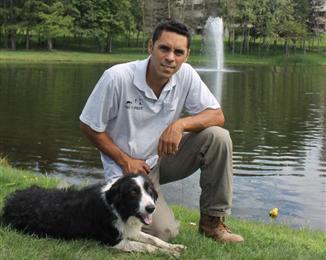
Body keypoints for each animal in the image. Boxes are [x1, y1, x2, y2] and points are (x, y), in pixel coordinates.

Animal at [0, 174, 186, 256]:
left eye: (149, 190)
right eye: (133, 192)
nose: (151, 208)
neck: (116, 207)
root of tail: (9, 202)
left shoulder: (128, 230)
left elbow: (153, 239)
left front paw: (174, 247)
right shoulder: (112, 241)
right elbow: (146, 246)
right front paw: (167, 253)